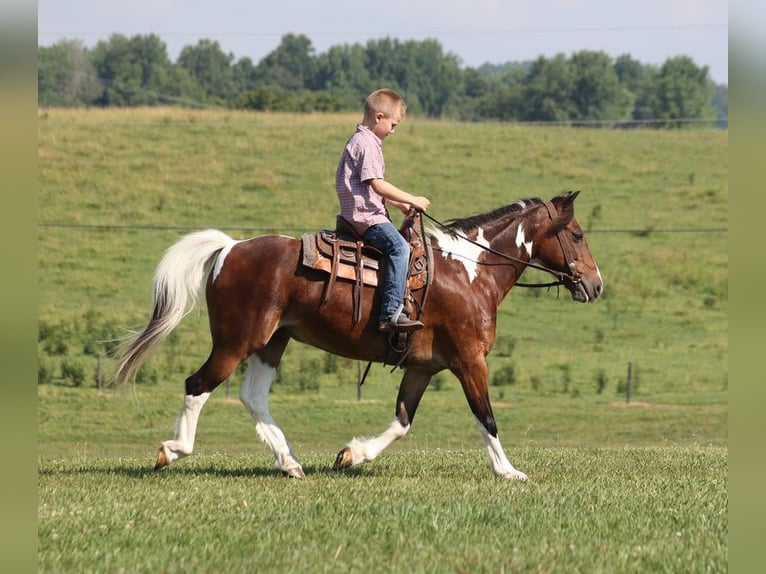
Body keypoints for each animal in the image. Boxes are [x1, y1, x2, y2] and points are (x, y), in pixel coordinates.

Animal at [114, 190, 603, 480]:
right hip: (236, 342)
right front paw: (508, 471)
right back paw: (174, 450)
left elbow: (402, 422)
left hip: (272, 342)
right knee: (197, 385)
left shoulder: (424, 367)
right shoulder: (470, 361)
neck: (470, 272)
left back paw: (290, 463)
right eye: (577, 234)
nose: (596, 285)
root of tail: (230, 248)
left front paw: (352, 454)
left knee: (252, 396)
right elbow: (487, 416)